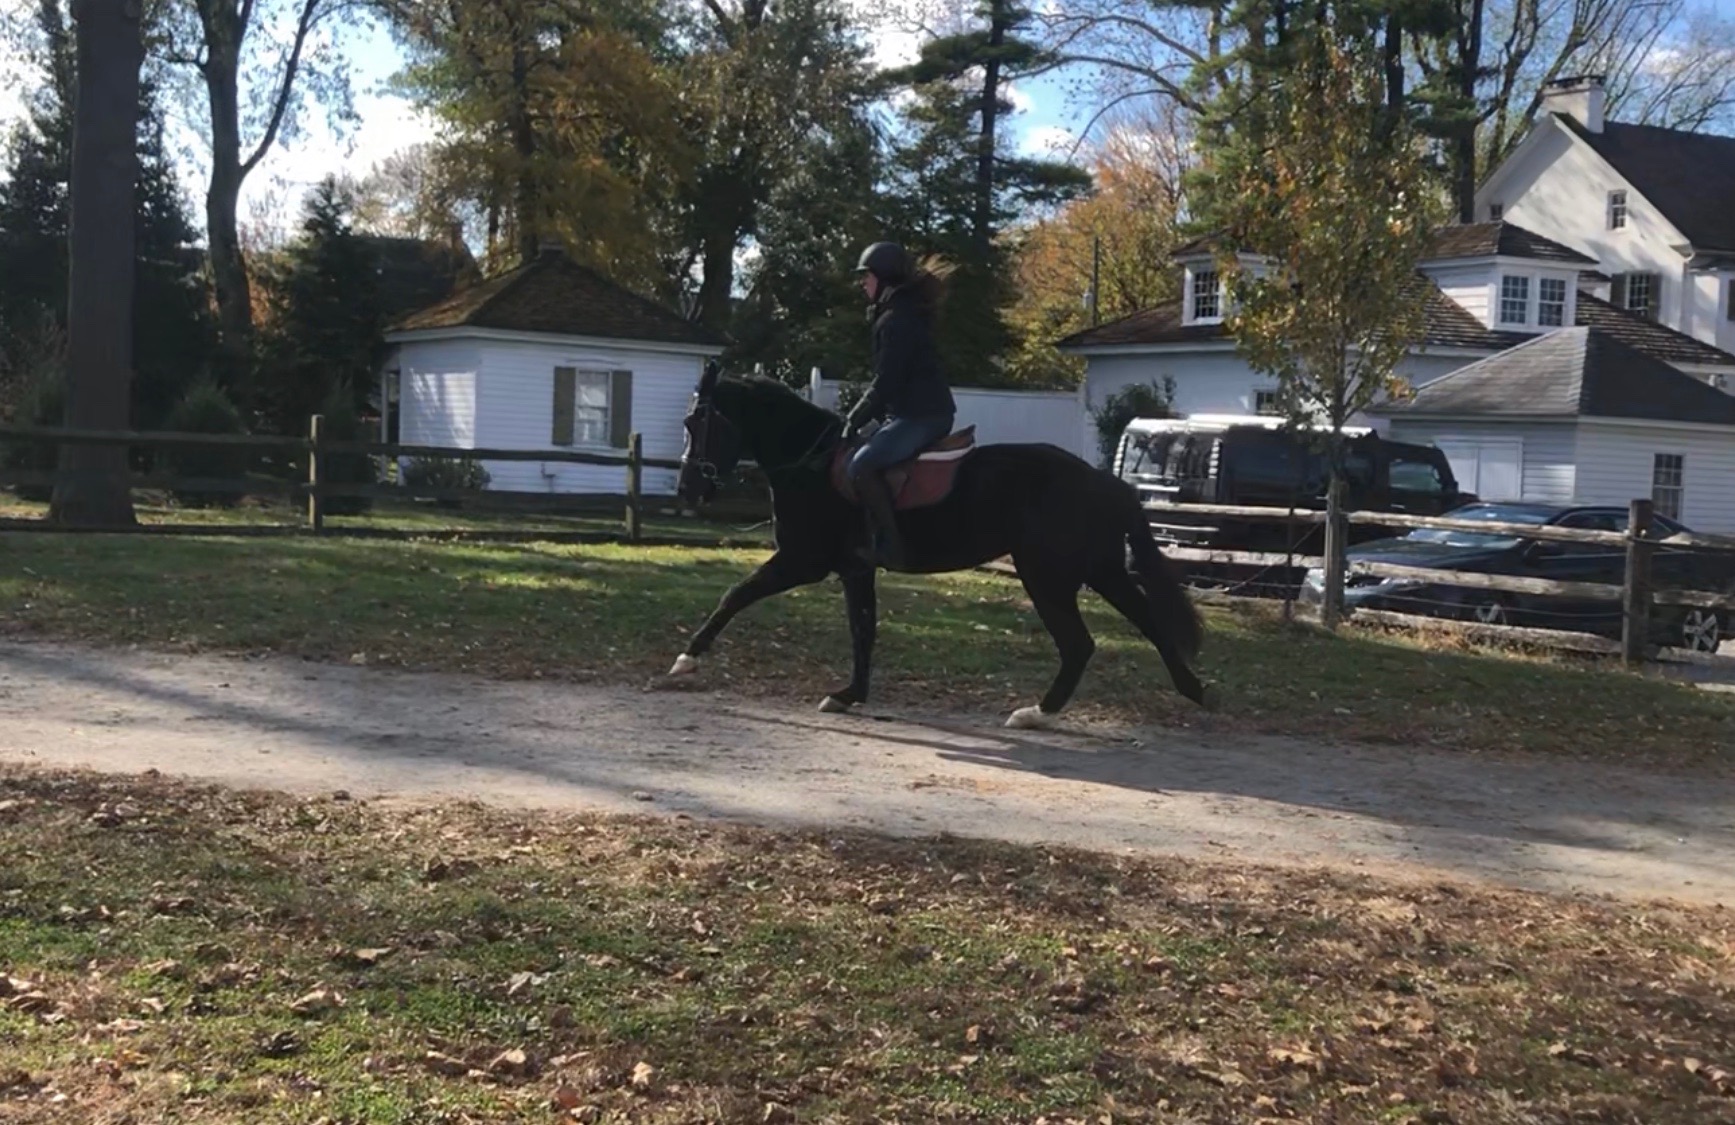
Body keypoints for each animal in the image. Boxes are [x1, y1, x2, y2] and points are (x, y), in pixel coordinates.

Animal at [667, 360, 1210, 728]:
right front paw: (850, 694)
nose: (688, 489)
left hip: (1050, 576)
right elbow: (863, 630)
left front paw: (687, 659)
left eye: (699, 423)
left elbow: (736, 594)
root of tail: (1105, 482)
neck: (814, 464)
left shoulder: (803, 561)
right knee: (1145, 621)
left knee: (1081, 642)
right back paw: (1190, 690)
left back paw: (1038, 712)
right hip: (1097, 569)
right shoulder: (854, 569)